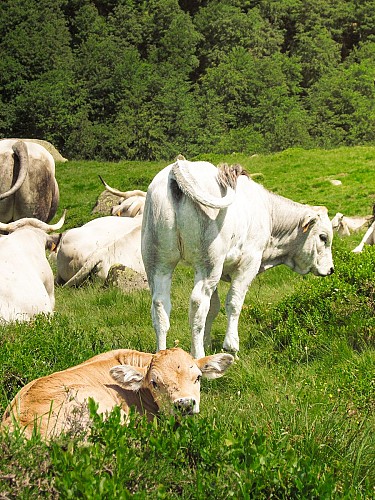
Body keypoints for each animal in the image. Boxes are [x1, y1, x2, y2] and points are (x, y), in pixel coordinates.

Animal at [142, 158, 336, 358]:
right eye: (323, 237)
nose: (331, 269)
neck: (268, 213)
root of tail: (177, 167)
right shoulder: (248, 264)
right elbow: (234, 302)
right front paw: (231, 347)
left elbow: (214, 307)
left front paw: (208, 343)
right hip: (207, 265)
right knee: (197, 304)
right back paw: (198, 356)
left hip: (158, 263)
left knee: (160, 305)